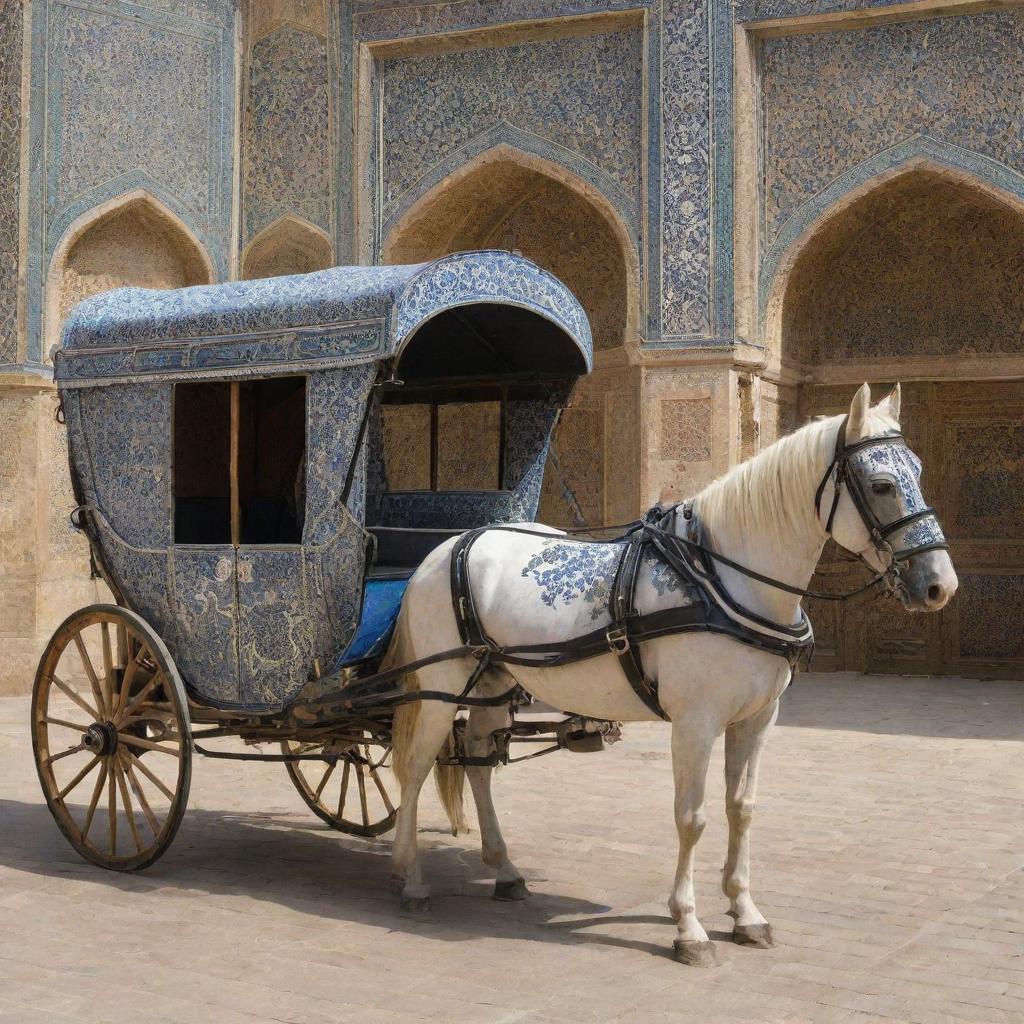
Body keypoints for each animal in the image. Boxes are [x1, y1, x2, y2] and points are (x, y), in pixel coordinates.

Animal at [380, 385, 954, 966]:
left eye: (919, 470)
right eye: (881, 484)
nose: (940, 585)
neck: (722, 579)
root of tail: (445, 548)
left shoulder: (758, 719)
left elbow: (741, 809)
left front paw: (745, 912)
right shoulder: (695, 722)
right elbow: (692, 817)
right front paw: (689, 926)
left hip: (493, 682)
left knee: (477, 763)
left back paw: (504, 870)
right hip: (441, 686)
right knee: (416, 766)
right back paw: (411, 877)